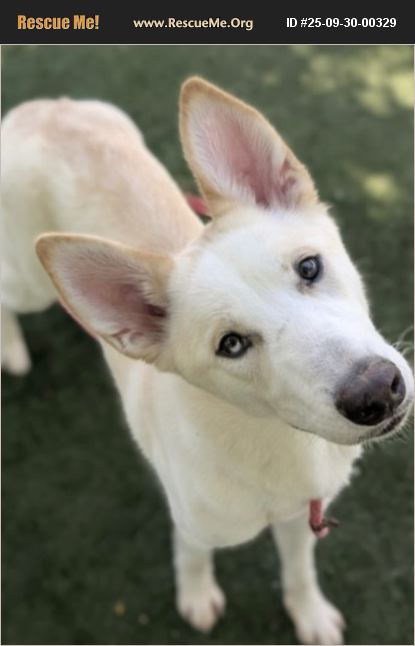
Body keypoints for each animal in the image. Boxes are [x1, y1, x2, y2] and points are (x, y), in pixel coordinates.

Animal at [2, 78, 413, 645]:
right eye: (231, 344)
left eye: (309, 267)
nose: (377, 390)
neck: (279, 440)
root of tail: (45, 108)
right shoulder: (192, 524)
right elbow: (193, 559)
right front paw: (196, 600)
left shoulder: (302, 515)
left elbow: (299, 569)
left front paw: (309, 615)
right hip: (29, 281)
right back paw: (12, 349)